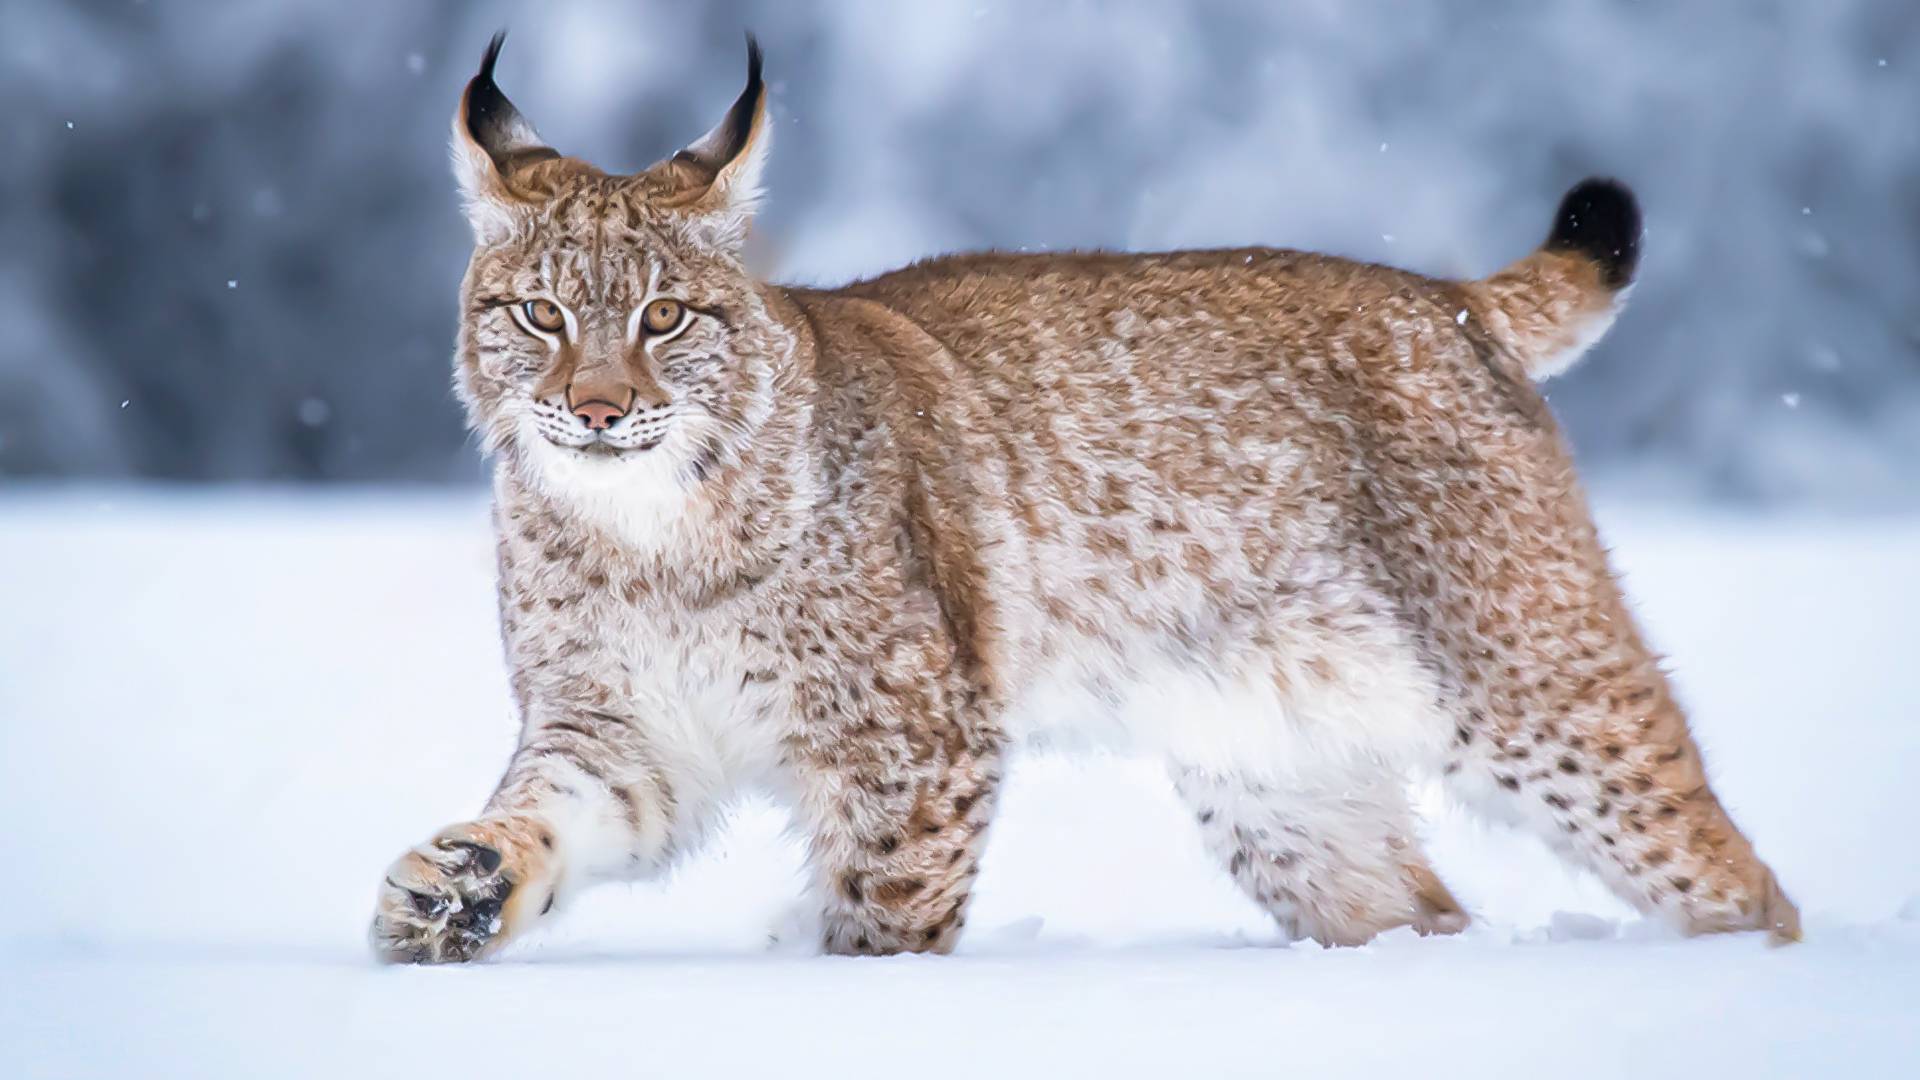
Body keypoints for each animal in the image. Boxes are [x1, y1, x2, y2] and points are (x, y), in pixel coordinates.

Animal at [374, 35, 1797, 957]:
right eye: (540, 315)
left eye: (665, 319)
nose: (598, 411)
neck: (647, 527)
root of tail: (1441, 295)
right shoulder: (617, 724)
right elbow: (547, 812)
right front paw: (464, 889)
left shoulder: (916, 738)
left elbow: (884, 918)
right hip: (1279, 780)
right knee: (1418, 910)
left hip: (1536, 691)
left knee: (1740, 880)